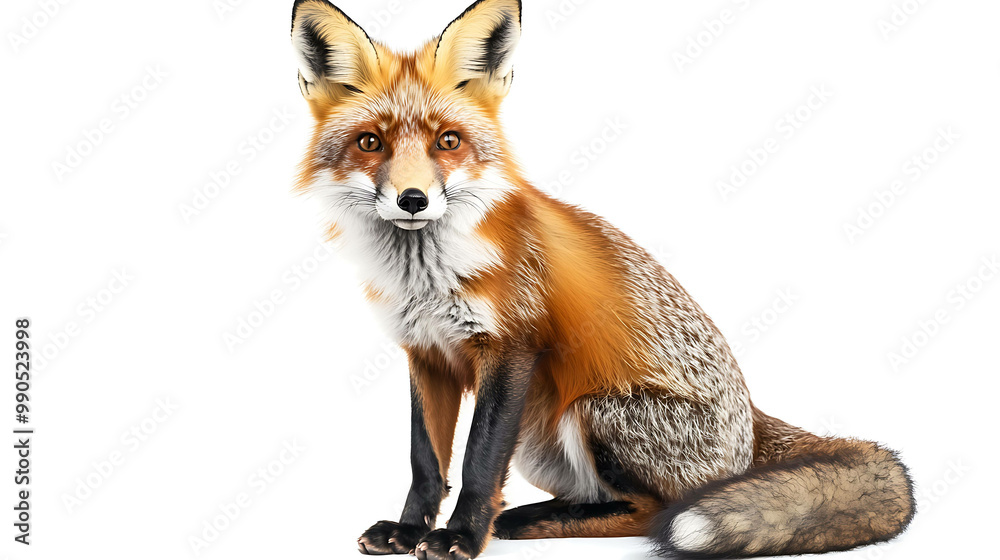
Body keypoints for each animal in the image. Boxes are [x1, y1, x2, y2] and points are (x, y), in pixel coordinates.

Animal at [289, 1, 915, 558]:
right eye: (371, 142)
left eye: (448, 141)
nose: (414, 200)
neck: (427, 277)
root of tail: (753, 425)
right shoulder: (426, 354)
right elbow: (426, 462)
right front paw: (408, 530)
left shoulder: (511, 348)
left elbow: (477, 462)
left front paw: (461, 538)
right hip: (540, 441)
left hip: (593, 411)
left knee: (655, 511)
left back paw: (527, 522)